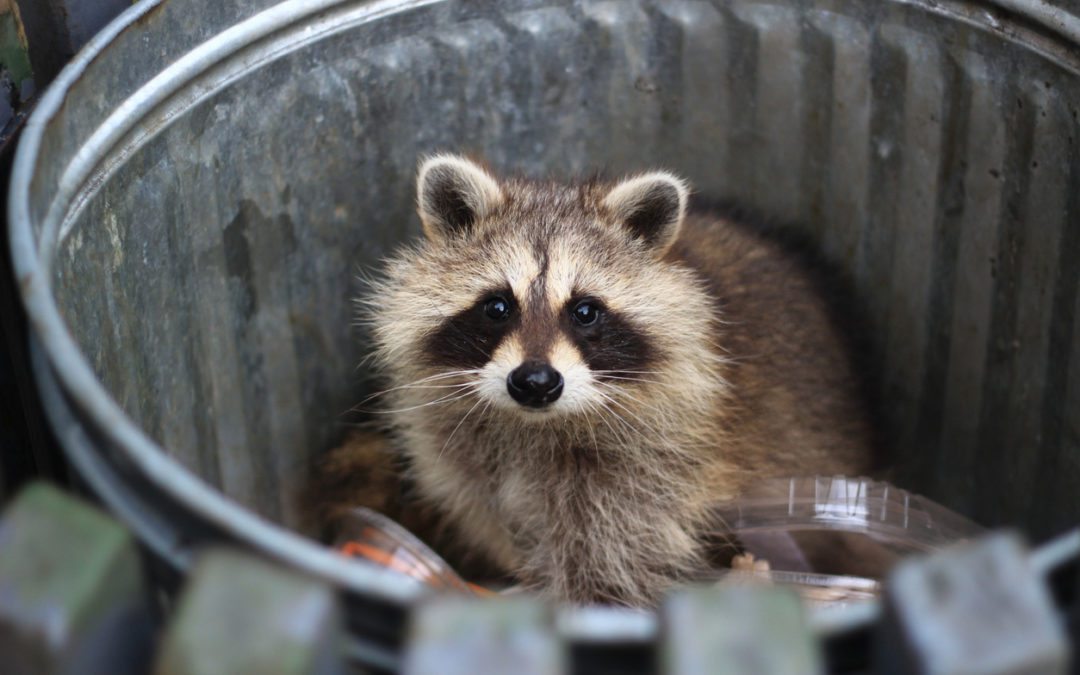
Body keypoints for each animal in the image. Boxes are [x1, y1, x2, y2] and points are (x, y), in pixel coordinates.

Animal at [319, 154, 874, 606]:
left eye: (585, 311)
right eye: (497, 307)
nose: (535, 382)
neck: (534, 425)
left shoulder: (653, 472)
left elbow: (610, 564)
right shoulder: (461, 458)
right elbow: (490, 514)